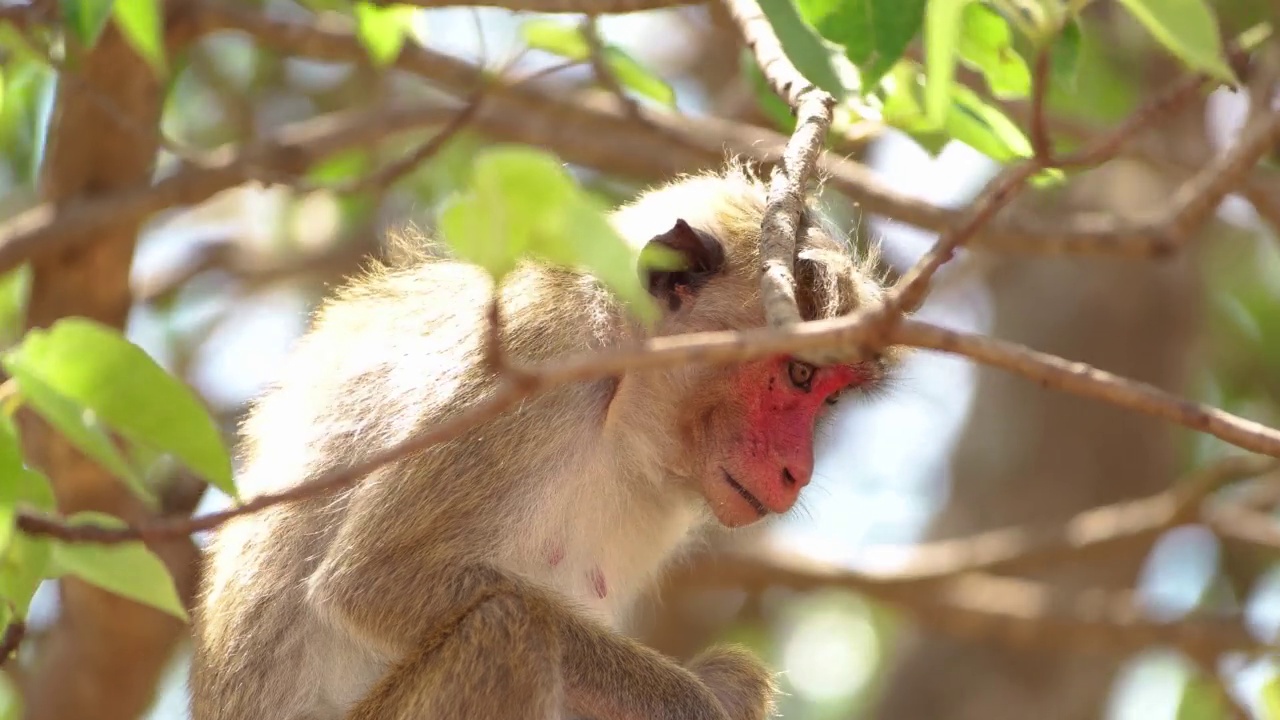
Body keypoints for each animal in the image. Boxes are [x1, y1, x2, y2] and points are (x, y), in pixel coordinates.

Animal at [189, 162, 901, 717]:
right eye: (800, 373)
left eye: (829, 397)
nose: (797, 471)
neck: (618, 408)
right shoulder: (539, 351)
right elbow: (375, 580)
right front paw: (692, 706)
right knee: (512, 627)